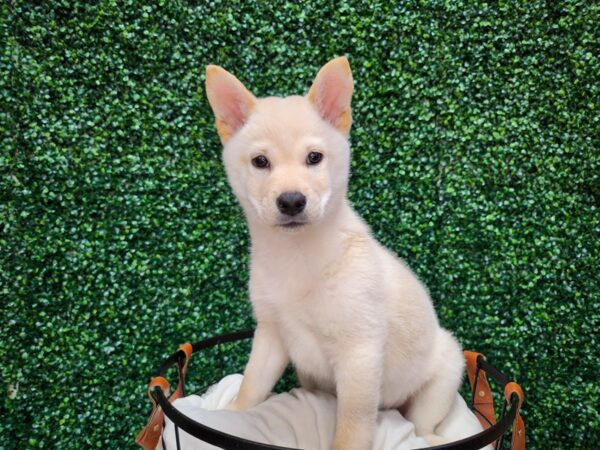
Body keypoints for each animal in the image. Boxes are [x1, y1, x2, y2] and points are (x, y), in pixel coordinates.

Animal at [205, 57, 464, 450]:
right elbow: (252, 386)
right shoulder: (272, 334)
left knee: (421, 426)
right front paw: (231, 415)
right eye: (260, 161)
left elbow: (353, 424)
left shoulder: (359, 353)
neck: (297, 256)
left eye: (314, 158)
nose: (291, 201)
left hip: (443, 375)